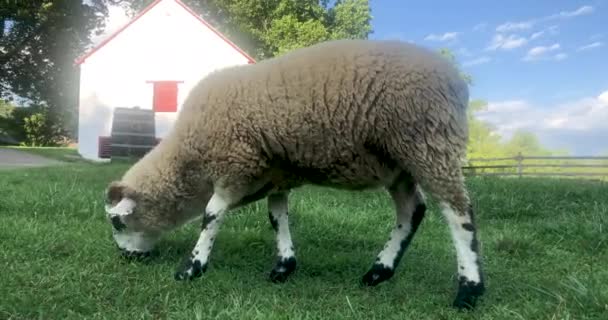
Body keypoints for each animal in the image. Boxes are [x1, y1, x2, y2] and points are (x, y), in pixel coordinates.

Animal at [103, 38, 484, 308]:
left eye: (118, 223)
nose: (124, 258)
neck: (189, 158)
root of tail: (456, 81)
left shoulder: (235, 164)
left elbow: (211, 216)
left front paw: (192, 267)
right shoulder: (275, 175)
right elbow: (277, 218)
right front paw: (284, 265)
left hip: (428, 142)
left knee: (459, 213)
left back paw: (469, 290)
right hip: (398, 163)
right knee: (411, 211)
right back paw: (378, 272)